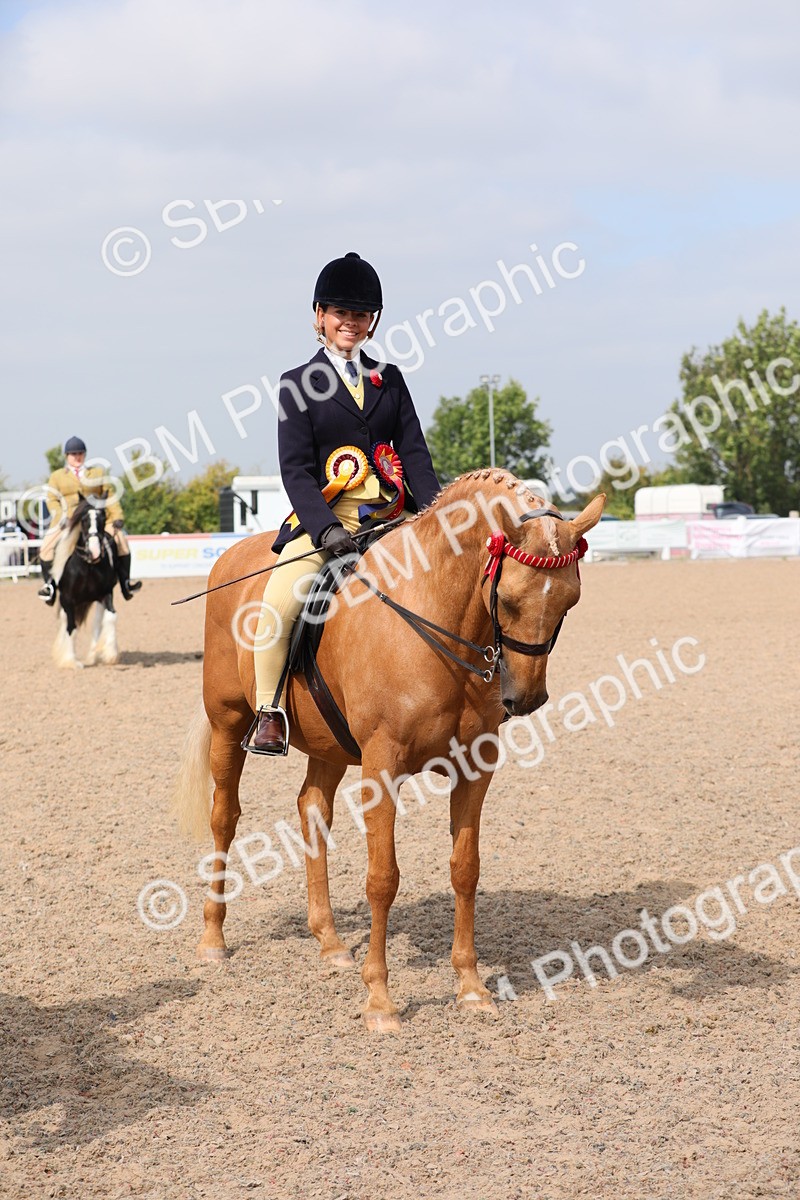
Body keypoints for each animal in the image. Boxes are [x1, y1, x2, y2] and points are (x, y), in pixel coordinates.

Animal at [51, 498, 120, 669]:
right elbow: (71, 627)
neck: (88, 566)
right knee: (66, 621)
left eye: (103, 519)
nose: (95, 552)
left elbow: (111, 617)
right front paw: (70, 661)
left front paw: (110, 654)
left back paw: (93, 655)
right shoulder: (67, 598)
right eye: (83, 520)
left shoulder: (106, 594)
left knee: (97, 622)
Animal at [172, 469, 605, 1031]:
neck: (434, 614)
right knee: (224, 817)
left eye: (569, 601)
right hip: (229, 723)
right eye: (507, 598)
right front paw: (379, 1000)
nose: (525, 699)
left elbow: (465, 869)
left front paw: (471, 987)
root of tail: (232, 555)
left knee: (312, 809)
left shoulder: (474, 769)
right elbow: (383, 878)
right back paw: (212, 940)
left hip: (329, 744)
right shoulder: (382, 768)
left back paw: (331, 943)